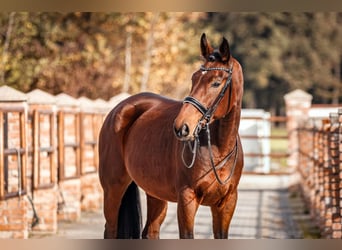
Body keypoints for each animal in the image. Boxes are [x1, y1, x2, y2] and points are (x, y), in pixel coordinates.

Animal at [98, 33, 243, 238]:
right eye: (194, 78)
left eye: (216, 82)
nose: (182, 127)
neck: (218, 149)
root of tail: (119, 108)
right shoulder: (187, 199)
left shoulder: (227, 204)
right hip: (113, 188)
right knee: (111, 229)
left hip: (155, 193)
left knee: (150, 231)